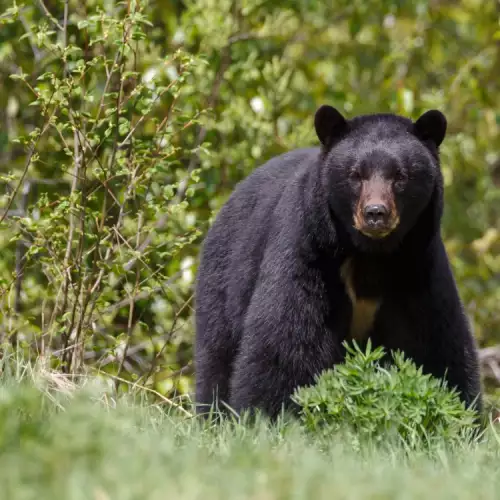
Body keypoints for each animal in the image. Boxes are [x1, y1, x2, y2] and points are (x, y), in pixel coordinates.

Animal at [193, 105, 482, 418]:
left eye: (400, 175)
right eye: (355, 174)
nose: (376, 213)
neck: (371, 254)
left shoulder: (416, 266)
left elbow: (436, 343)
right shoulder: (309, 251)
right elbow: (286, 339)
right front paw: (267, 415)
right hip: (225, 277)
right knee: (217, 355)